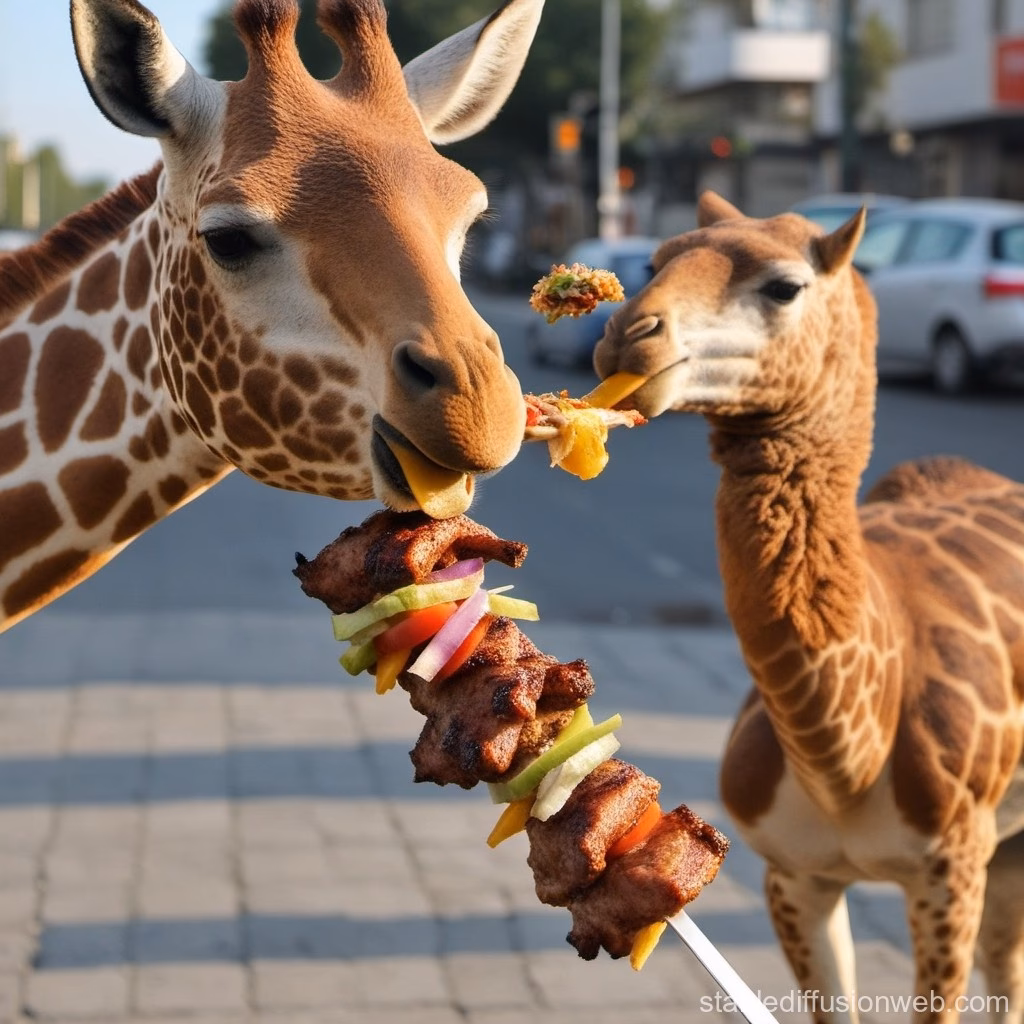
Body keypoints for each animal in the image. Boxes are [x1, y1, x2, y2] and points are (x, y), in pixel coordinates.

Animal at [593, 192, 1024, 1024]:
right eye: (656, 260)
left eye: (785, 287)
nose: (627, 336)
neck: (841, 759)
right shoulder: (794, 873)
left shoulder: (950, 873)